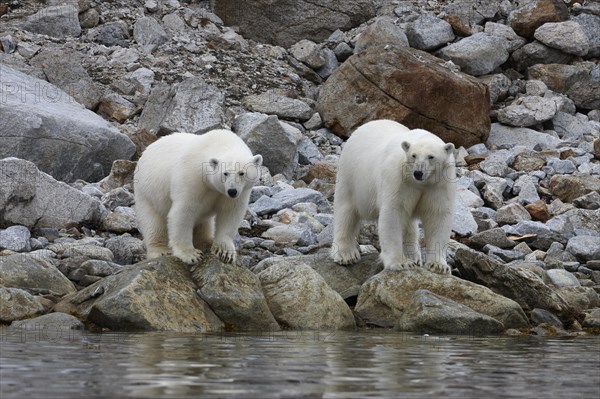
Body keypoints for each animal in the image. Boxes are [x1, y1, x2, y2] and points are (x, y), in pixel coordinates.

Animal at [136, 129, 262, 266]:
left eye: (242, 173)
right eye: (225, 173)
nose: (232, 191)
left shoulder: (238, 193)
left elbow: (230, 213)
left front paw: (225, 252)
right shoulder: (192, 178)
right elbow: (183, 211)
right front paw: (191, 255)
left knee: (204, 223)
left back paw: (206, 242)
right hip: (147, 192)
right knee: (154, 223)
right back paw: (160, 250)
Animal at [332, 119, 454, 276]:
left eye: (431, 156)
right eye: (413, 155)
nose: (418, 173)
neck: (421, 183)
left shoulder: (439, 184)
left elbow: (438, 216)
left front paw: (438, 265)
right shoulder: (398, 179)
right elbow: (393, 214)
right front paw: (400, 263)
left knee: (409, 224)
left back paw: (413, 257)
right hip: (352, 176)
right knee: (346, 211)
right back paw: (346, 254)